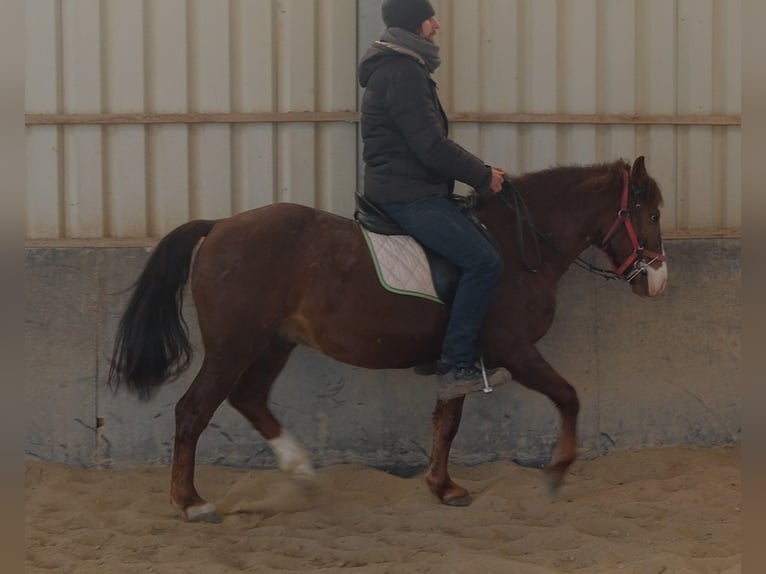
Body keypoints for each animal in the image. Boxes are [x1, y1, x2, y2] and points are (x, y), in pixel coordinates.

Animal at [108, 156, 668, 522]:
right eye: (654, 214)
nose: (657, 281)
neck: (517, 244)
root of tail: (220, 225)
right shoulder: (513, 349)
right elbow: (568, 396)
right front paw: (556, 471)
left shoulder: (460, 359)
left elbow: (447, 421)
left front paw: (443, 487)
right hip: (233, 347)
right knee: (194, 409)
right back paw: (191, 502)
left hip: (272, 343)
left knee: (248, 399)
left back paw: (300, 470)